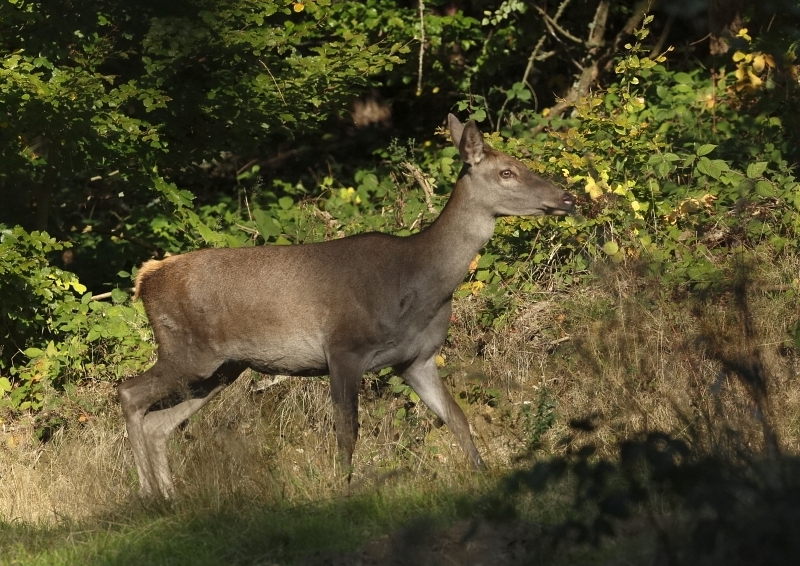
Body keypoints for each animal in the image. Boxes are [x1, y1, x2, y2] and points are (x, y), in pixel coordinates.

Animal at [119, 114, 576, 496]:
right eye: (507, 172)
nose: (567, 197)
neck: (418, 285)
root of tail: (145, 278)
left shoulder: (416, 359)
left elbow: (457, 418)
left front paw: (483, 474)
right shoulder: (342, 348)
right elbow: (347, 432)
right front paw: (345, 491)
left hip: (222, 368)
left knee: (159, 423)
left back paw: (170, 496)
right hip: (188, 349)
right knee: (129, 392)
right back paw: (146, 495)